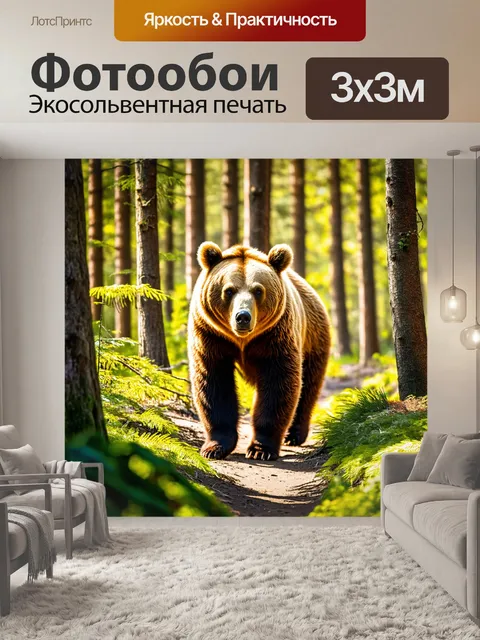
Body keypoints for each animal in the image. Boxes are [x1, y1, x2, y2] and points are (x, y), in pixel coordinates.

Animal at [188, 242, 331, 462]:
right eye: (229, 290)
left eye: (258, 290)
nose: (243, 317)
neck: (242, 341)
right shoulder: (211, 335)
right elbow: (213, 383)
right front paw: (215, 447)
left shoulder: (275, 336)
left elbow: (278, 384)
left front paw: (260, 449)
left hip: (313, 338)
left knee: (308, 384)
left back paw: (294, 434)